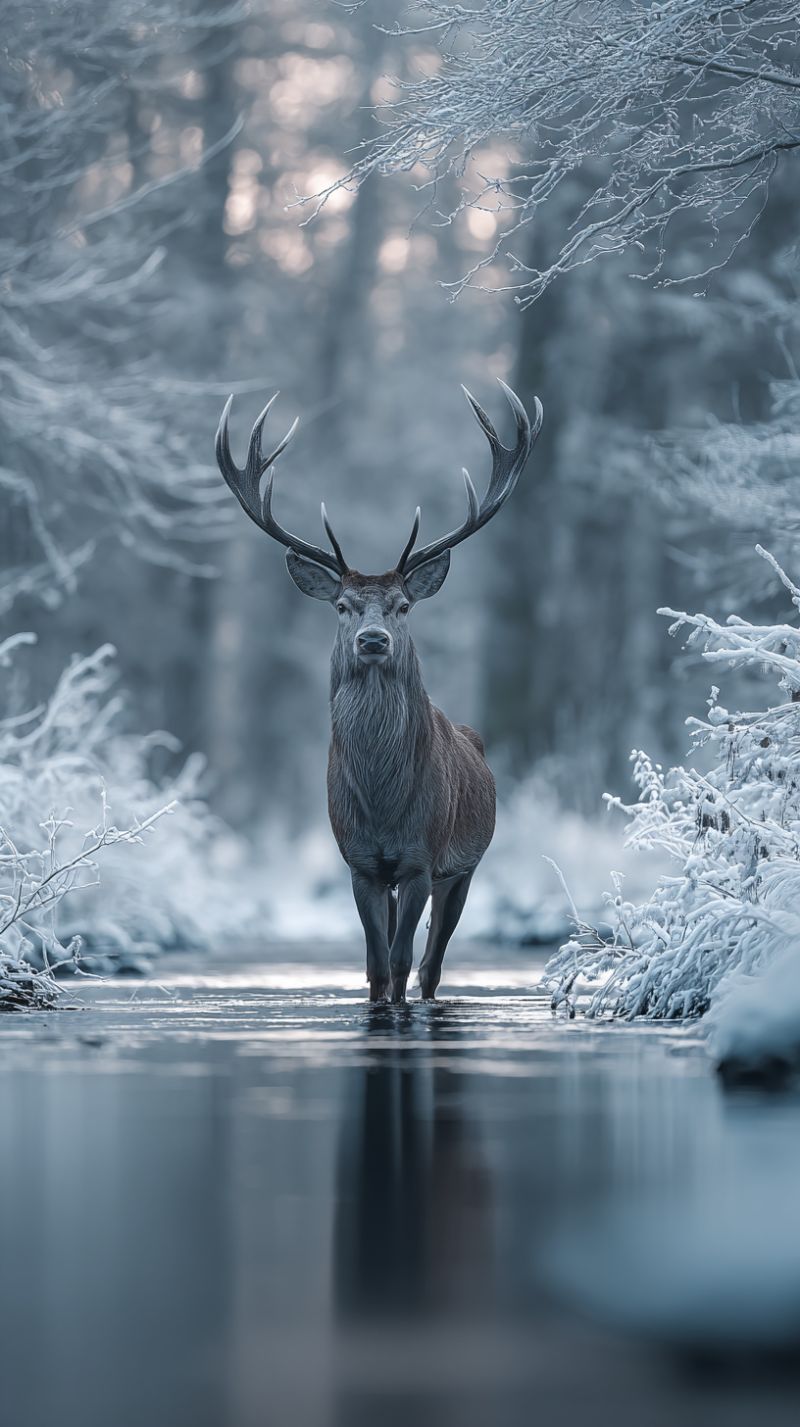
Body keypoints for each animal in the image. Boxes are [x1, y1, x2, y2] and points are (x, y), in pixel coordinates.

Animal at [215, 381, 542, 1003]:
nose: (372, 639)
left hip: (465, 866)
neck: (382, 802)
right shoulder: (361, 863)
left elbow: (401, 961)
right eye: (343, 606)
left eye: (404, 605)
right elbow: (374, 966)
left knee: (433, 963)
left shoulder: (420, 857)